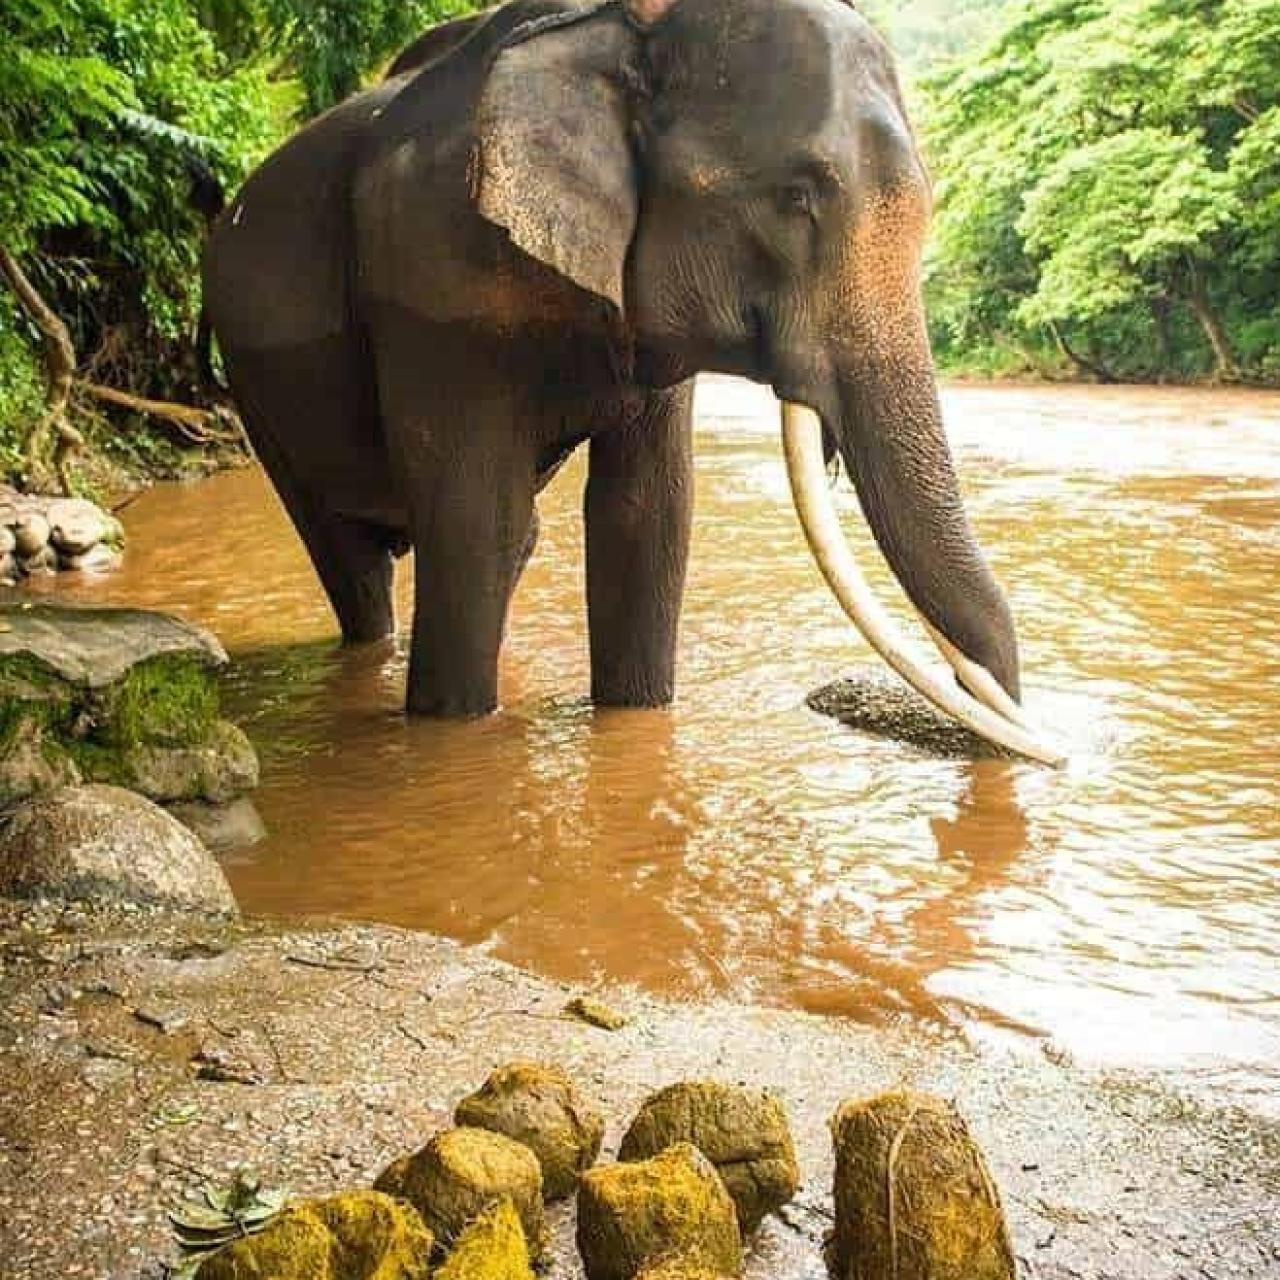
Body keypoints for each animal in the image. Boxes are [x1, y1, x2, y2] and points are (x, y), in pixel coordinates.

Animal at [202, 0, 1061, 763]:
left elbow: (645, 515)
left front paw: (633, 714)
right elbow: (475, 520)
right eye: (796, 197)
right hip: (251, 384)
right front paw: (453, 734)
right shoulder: (432, 283)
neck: (629, 28)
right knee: (354, 555)